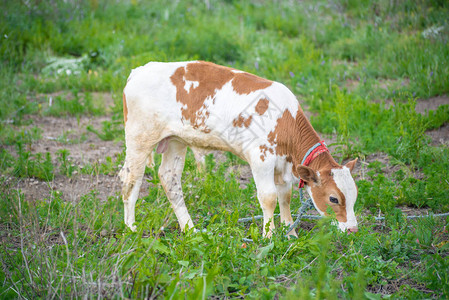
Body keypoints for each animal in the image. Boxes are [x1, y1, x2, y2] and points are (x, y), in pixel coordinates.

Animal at [119, 61, 356, 237]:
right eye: (334, 198)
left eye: (354, 195)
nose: (353, 229)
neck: (285, 121)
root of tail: (138, 71)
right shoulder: (261, 158)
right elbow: (268, 197)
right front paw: (268, 236)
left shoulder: (282, 165)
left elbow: (285, 196)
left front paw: (290, 233)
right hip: (139, 138)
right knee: (130, 180)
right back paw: (131, 228)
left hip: (176, 140)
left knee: (170, 179)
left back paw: (190, 229)